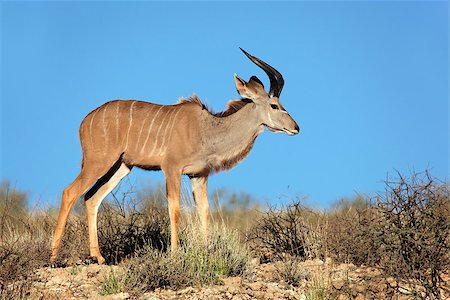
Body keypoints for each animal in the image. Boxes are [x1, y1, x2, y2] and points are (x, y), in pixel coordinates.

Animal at [50, 48, 298, 264]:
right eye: (274, 105)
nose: (296, 128)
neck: (206, 129)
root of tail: (85, 121)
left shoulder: (199, 175)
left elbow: (204, 210)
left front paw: (206, 250)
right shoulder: (171, 168)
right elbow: (175, 208)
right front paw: (175, 252)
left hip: (120, 167)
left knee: (91, 198)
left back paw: (99, 257)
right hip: (98, 162)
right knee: (70, 192)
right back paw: (53, 257)